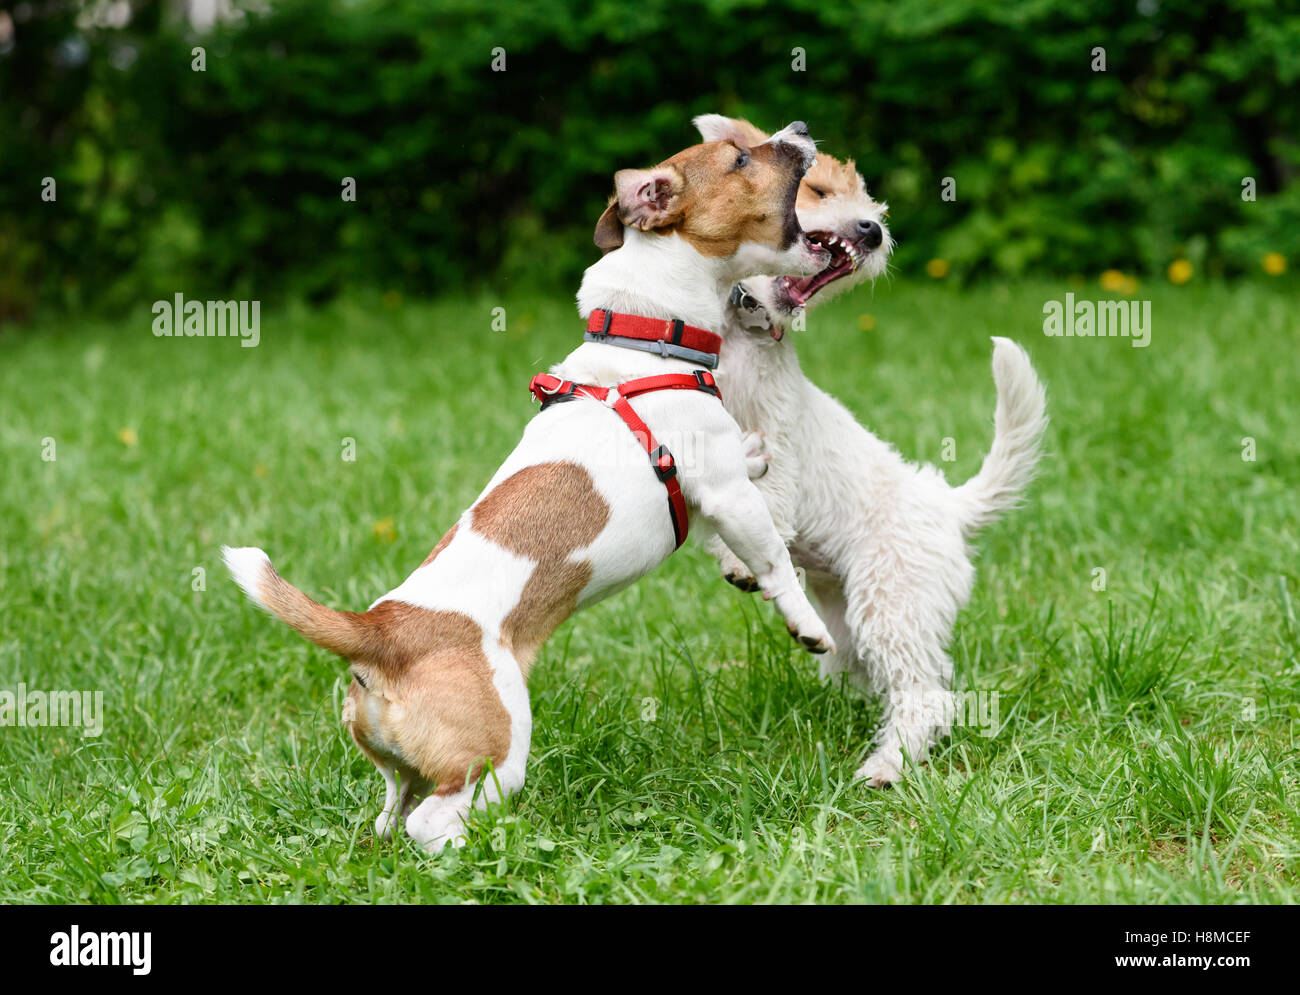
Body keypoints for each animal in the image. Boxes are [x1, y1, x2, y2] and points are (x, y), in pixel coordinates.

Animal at [222, 120, 832, 848]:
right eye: (740, 157)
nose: (800, 129)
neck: (643, 339)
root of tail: (379, 632)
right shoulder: (725, 494)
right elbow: (775, 562)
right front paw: (808, 626)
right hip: (496, 749)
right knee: (433, 822)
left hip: (396, 764)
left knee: (391, 811)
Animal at [691, 114, 1045, 785]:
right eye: (819, 190)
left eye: (875, 207)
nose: (874, 231)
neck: (740, 326)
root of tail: (947, 505)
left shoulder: (776, 446)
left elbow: (761, 501)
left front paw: (737, 560)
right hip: (849, 622)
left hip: (892, 605)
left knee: (926, 696)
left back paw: (886, 766)